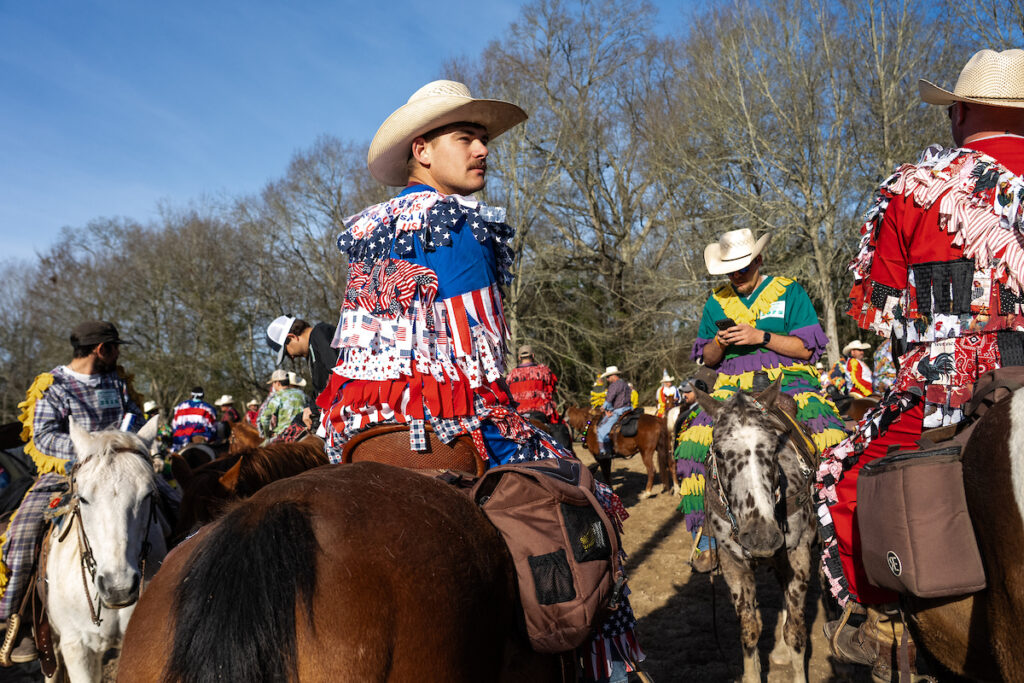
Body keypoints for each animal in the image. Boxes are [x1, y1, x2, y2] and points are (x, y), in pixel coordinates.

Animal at [692, 382, 819, 679]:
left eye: (773, 449)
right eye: (720, 452)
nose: (761, 536)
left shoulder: (798, 555)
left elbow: (795, 631)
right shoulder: (733, 564)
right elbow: (749, 631)